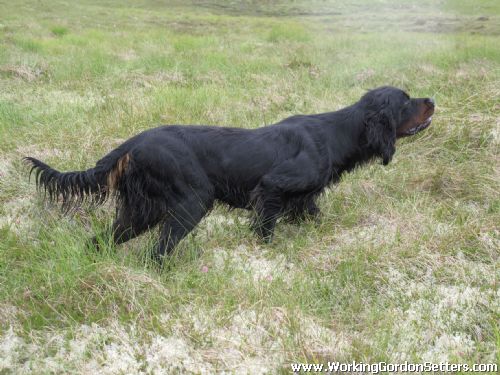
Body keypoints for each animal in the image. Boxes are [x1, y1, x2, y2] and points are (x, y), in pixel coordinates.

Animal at [26, 87, 434, 264]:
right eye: (406, 100)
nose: (432, 99)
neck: (336, 134)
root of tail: (133, 142)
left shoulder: (303, 202)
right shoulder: (270, 189)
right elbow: (266, 230)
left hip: (142, 210)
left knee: (103, 240)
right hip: (192, 201)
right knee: (158, 251)